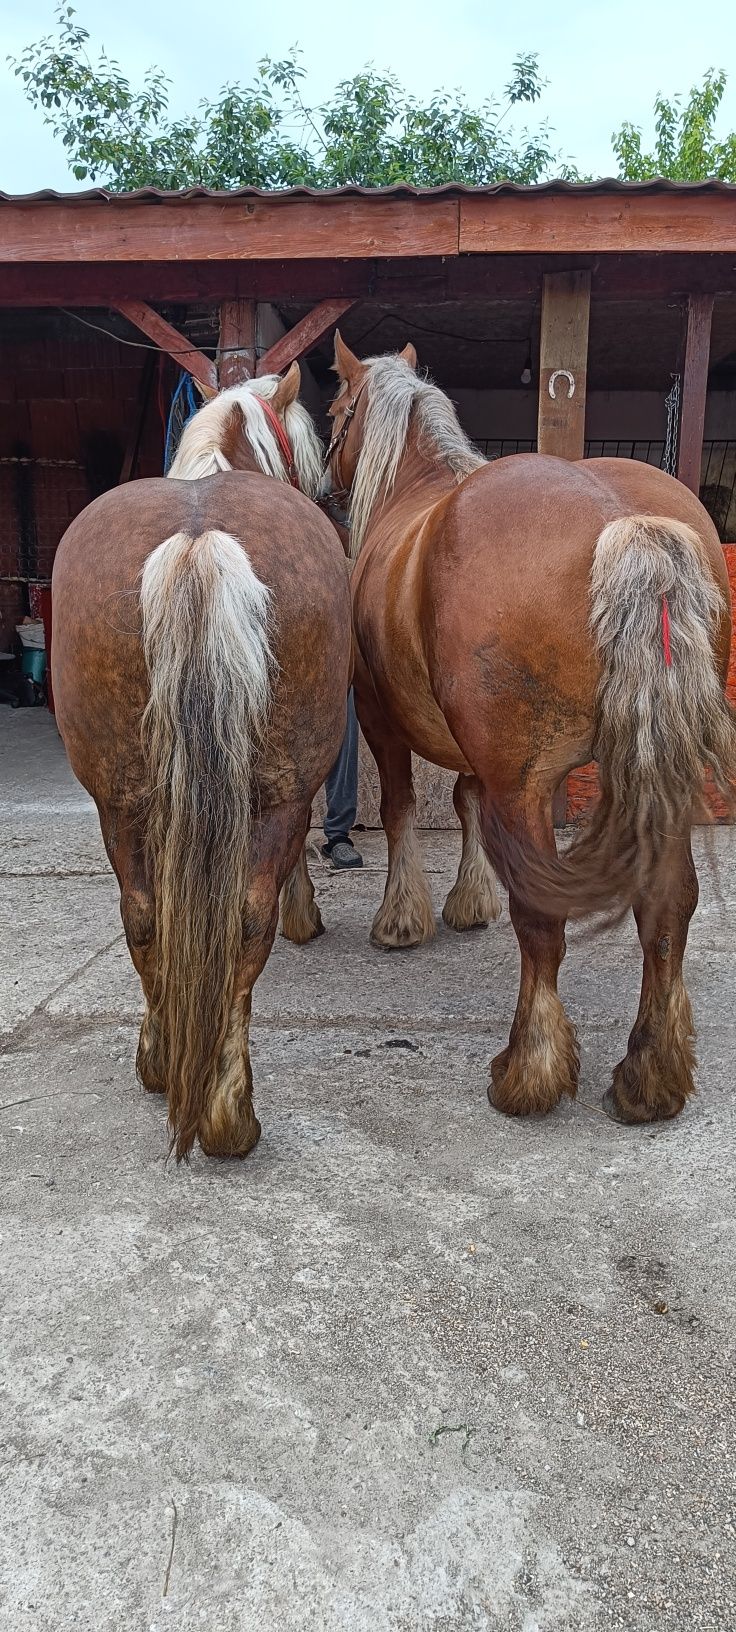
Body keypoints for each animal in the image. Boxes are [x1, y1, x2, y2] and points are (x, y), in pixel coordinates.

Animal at [52, 370, 350, 1161]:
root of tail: (197, 539)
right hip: (275, 793)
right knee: (240, 918)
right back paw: (226, 1112)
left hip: (120, 796)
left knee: (148, 914)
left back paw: (171, 1071)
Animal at [328, 331, 736, 1122]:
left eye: (332, 411)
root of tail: (619, 517)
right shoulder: (480, 758)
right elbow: (462, 804)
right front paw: (468, 900)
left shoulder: (384, 722)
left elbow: (399, 811)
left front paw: (403, 918)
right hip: (657, 777)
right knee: (667, 909)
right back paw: (650, 1074)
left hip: (526, 787)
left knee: (545, 924)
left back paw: (530, 1070)